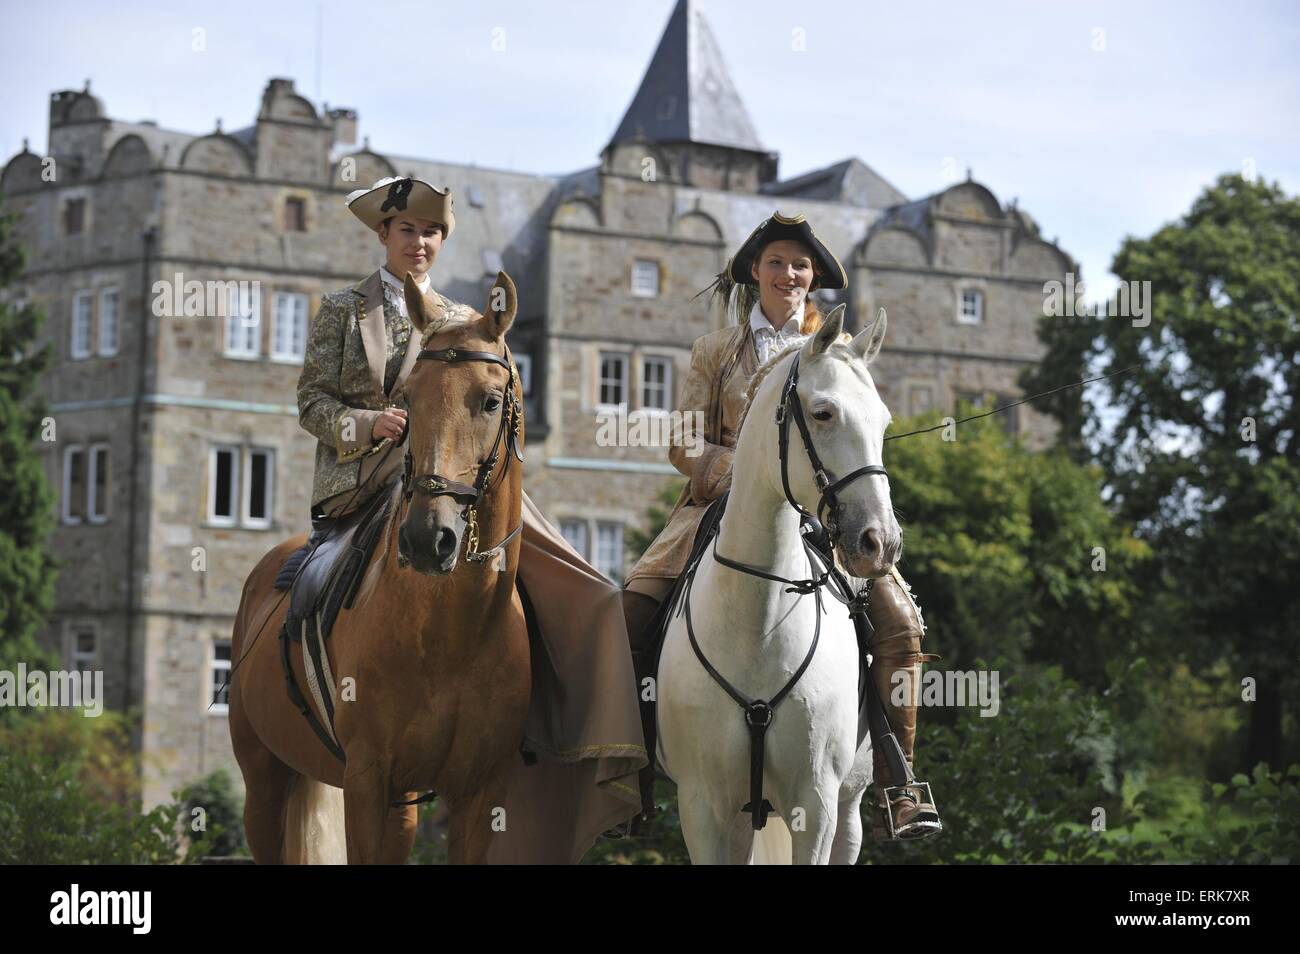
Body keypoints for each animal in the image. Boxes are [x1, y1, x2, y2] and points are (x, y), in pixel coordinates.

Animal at [228, 270, 527, 868]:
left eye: (490, 401)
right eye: (407, 399)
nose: (427, 539)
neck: (454, 633)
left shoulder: (478, 794)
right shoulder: (366, 780)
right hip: (264, 782)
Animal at [655, 306, 899, 868]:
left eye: (883, 421)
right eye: (824, 413)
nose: (880, 542)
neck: (758, 622)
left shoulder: (816, 803)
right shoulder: (702, 807)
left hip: (848, 808)